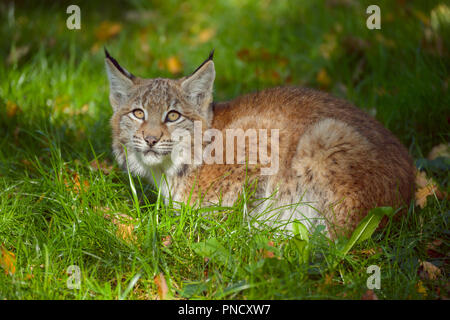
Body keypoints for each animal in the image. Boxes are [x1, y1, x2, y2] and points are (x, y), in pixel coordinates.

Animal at [105, 48, 414, 236]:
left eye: (172, 115)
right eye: (138, 113)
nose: (151, 139)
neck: (173, 168)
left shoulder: (259, 141)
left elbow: (240, 206)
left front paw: (227, 229)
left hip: (326, 133)